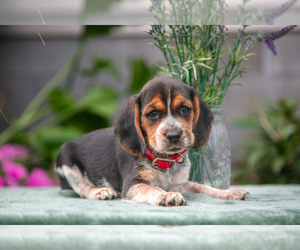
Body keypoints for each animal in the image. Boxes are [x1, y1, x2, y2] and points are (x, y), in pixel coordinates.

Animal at [54, 77, 248, 206]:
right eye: (152, 113)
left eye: (185, 109)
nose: (174, 135)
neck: (165, 160)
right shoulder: (132, 185)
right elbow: (152, 188)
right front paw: (167, 195)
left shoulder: (180, 183)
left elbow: (203, 187)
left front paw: (229, 192)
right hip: (66, 159)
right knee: (81, 188)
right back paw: (101, 191)